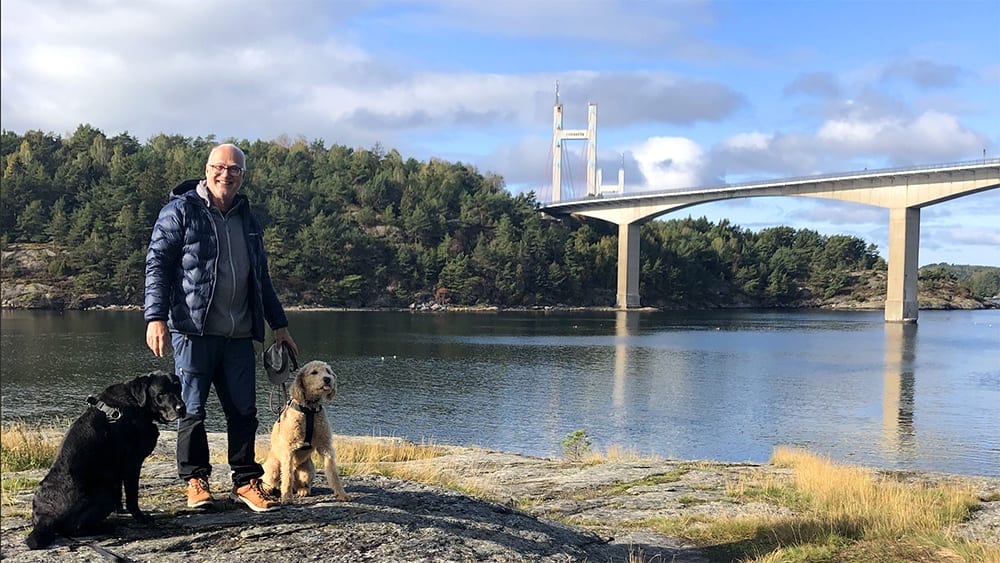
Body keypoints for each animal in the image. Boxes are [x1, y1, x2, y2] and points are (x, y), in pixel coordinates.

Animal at [24, 372, 186, 548]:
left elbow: (120, 492)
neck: (136, 403)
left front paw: (121, 511)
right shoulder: (132, 464)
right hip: (105, 496)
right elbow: (132, 497)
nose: (182, 408)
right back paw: (106, 526)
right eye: (161, 393)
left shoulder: (116, 469)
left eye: (179, 388)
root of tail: (45, 518)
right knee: (76, 528)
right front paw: (140, 517)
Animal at [260, 362, 350, 502]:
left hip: (308, 469)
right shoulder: (289, 448)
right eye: (314, 372)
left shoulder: (325, 446)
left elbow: (333, 472)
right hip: (273, 467)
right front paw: (287, 497)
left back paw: (303, 490)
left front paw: (341, 494)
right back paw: (268, 489)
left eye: (328, 371)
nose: (327, 379)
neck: (309, 410)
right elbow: (287, 475)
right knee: (270, 480)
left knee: (299, 484)